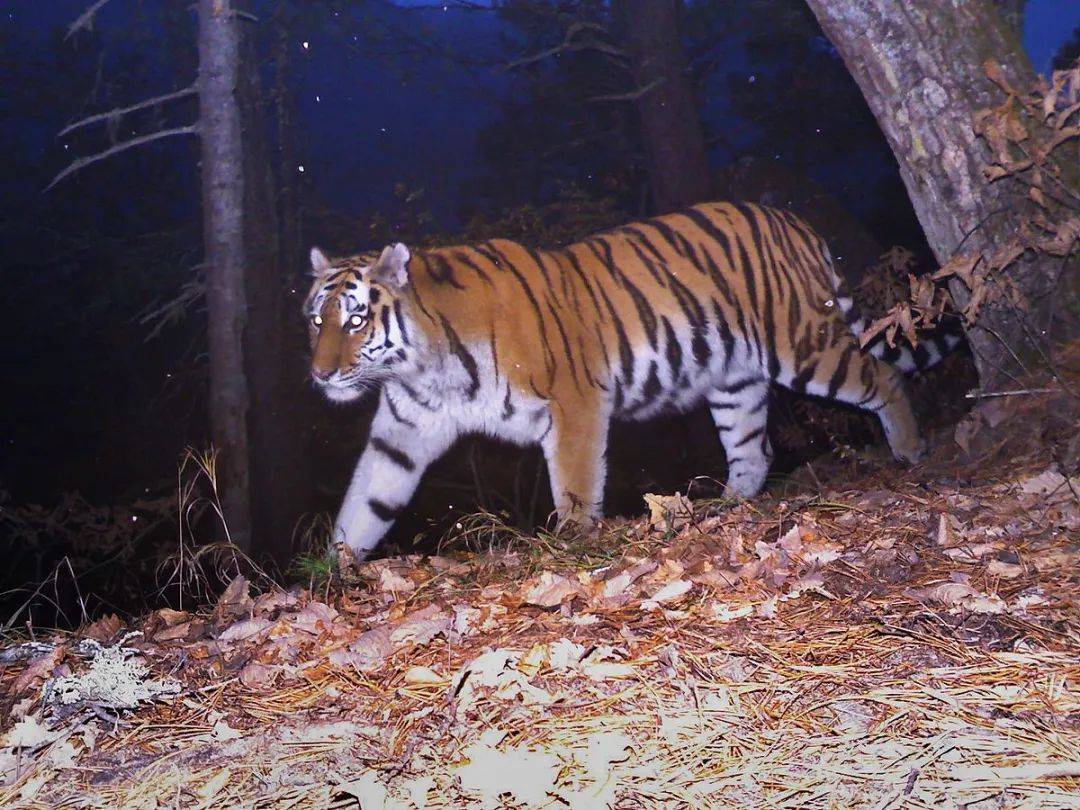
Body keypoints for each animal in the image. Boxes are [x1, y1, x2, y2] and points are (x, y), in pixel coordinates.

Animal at [302, 201, 954, 557]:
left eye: (357, 319)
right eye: (317, 319)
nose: (320, 374)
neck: (424, 366)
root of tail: (794, 222)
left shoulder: (575, 405)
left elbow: (575, 488)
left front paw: (572, 549)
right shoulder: (402, 432)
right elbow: (364, 505)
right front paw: (331, 575)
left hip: (802, 344)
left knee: (883, 379)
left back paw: (910, 452)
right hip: (734, 379)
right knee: (754, 449)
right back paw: (723, 508)